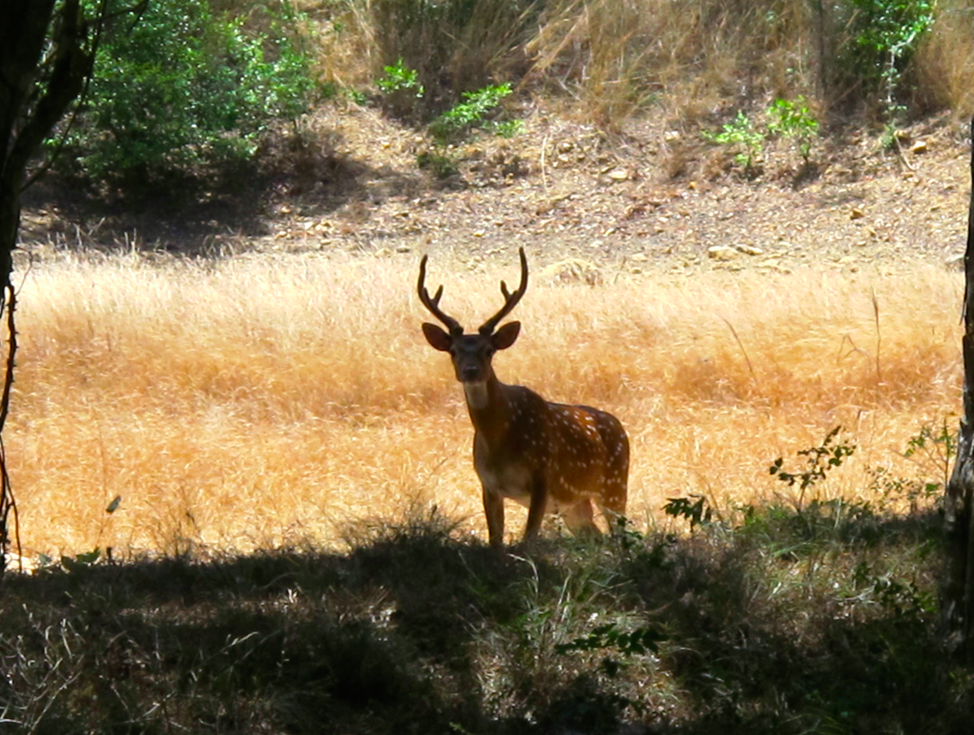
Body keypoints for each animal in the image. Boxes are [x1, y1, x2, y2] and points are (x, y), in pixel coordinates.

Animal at [420, 250, 632, 548]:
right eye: (453, 351)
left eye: (489, 350)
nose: (470, 371)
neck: (500, 442)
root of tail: (620, 427)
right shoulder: (488, 484)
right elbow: (495, 541)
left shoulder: (542, 475)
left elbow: (529, 539)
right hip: (576, 504)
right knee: (596, 535)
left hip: (615, 483)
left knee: (622, 534)